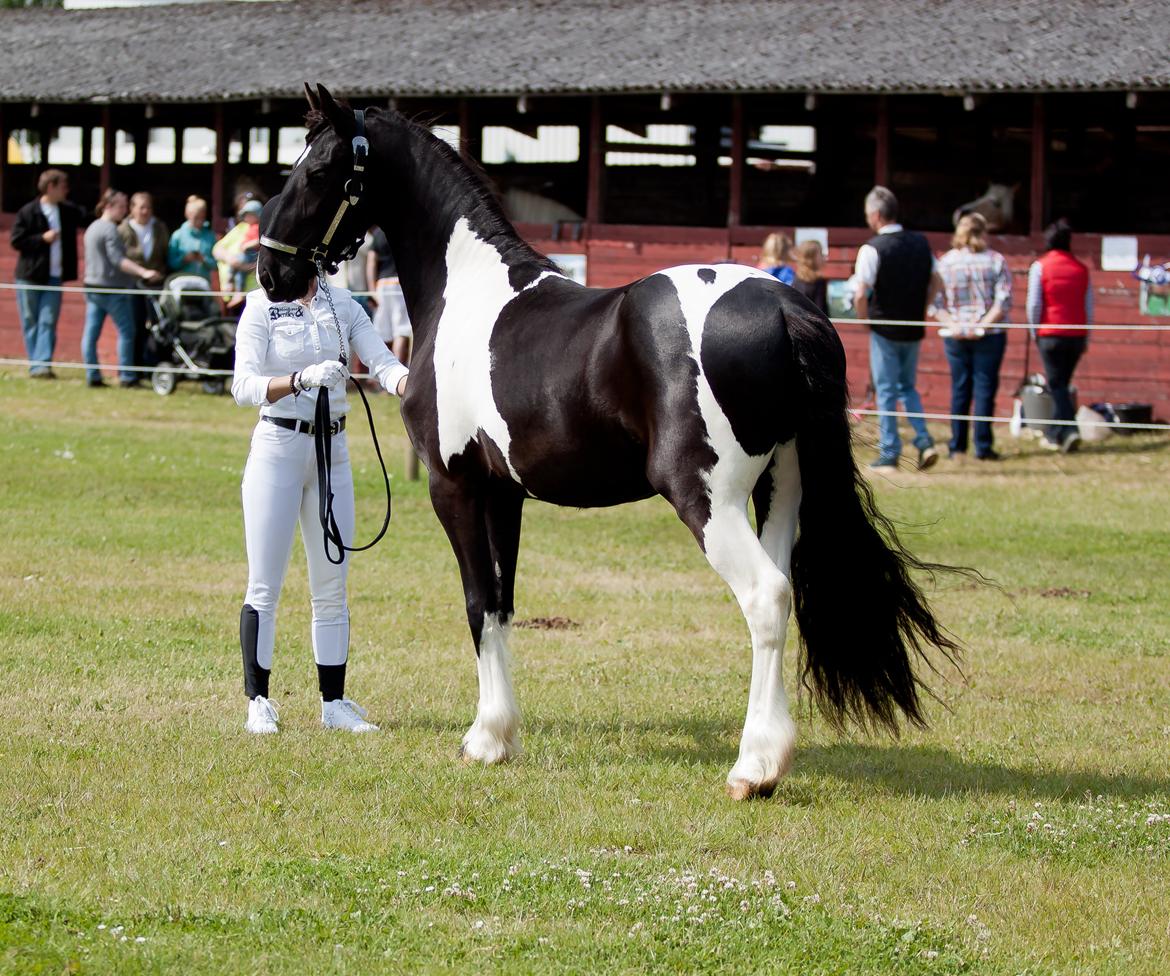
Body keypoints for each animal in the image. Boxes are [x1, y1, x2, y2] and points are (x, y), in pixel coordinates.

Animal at [256, 85, 959, 800]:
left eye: (317, 170)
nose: (270, 270)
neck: (469, 293)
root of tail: (787, 307)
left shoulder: (455, 485)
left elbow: (477, 602)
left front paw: (483, 740)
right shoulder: (505, 494)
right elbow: (503, 604)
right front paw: (502, 735)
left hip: (707, 498)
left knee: (766, 598)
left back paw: (752, 768)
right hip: (782, 490)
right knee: (783, 589)